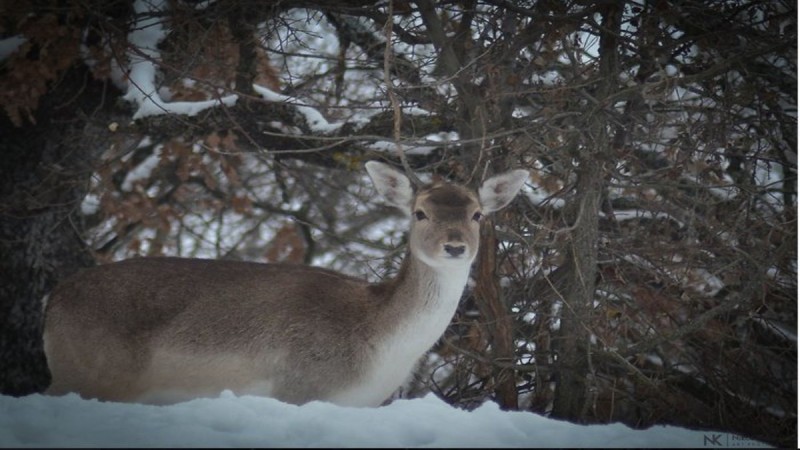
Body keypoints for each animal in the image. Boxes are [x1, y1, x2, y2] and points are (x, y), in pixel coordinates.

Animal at [45, 161, 532, 408]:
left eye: (477, 214)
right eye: (420, 213)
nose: (454, 246)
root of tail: (52, 301)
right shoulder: (299, 389)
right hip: (86, 372)